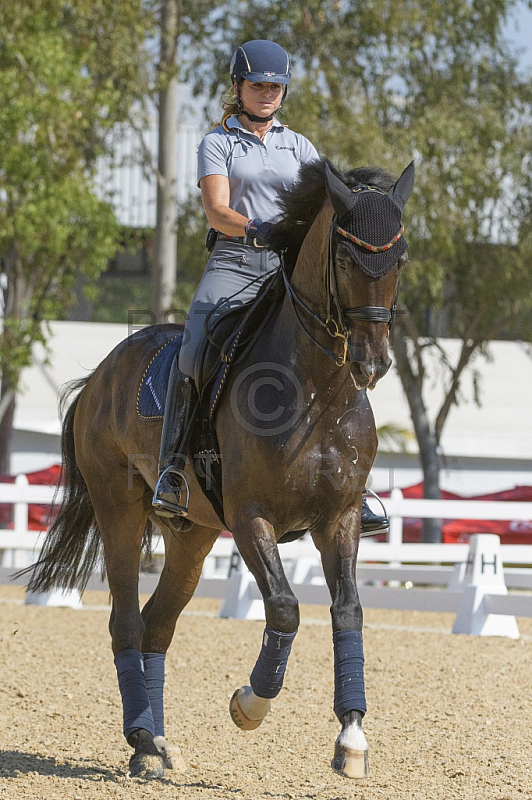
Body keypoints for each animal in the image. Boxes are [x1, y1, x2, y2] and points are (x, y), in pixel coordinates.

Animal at [25, 158, 414, 780]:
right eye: (345, 258)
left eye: (398, 259)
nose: (371, 363)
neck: (318, 391)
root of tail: (101, 375)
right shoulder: (252, 518)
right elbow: (284, 608)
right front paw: (249, 704)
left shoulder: (340, 518)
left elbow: (348, 611)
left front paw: (352, 737)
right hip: (119, 509)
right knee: (126, 622)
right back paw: (141, 738)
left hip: (193, 534)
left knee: (158, 624)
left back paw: (157, 744)